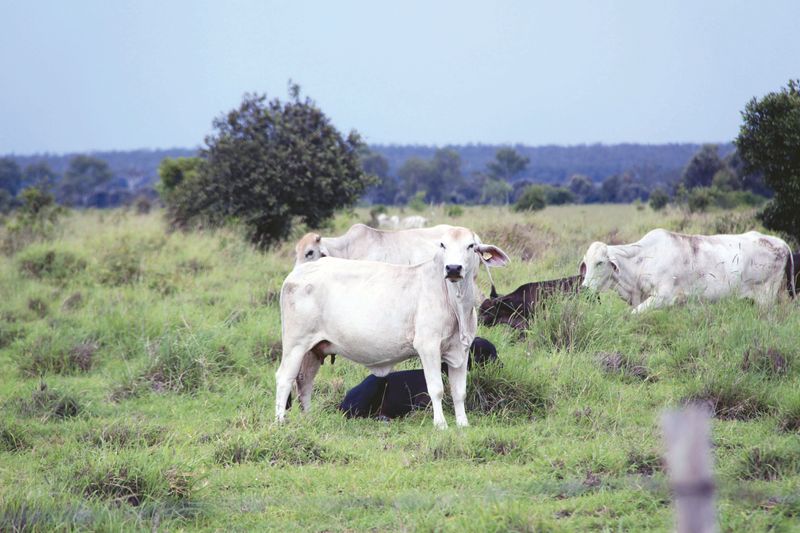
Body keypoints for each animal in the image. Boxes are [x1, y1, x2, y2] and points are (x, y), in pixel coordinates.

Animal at [339, 337, 498, 419]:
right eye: (484, 353)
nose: (500, 364)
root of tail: (345, 398)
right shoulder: (422, 402)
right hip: (375, 382)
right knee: (354, 414)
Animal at [580, 229, 795, 313]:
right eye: (586, 263)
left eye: (600, 262)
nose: (584, 289)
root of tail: (781, 243)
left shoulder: (662, 298)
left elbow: (631, 314)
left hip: (765, 298)